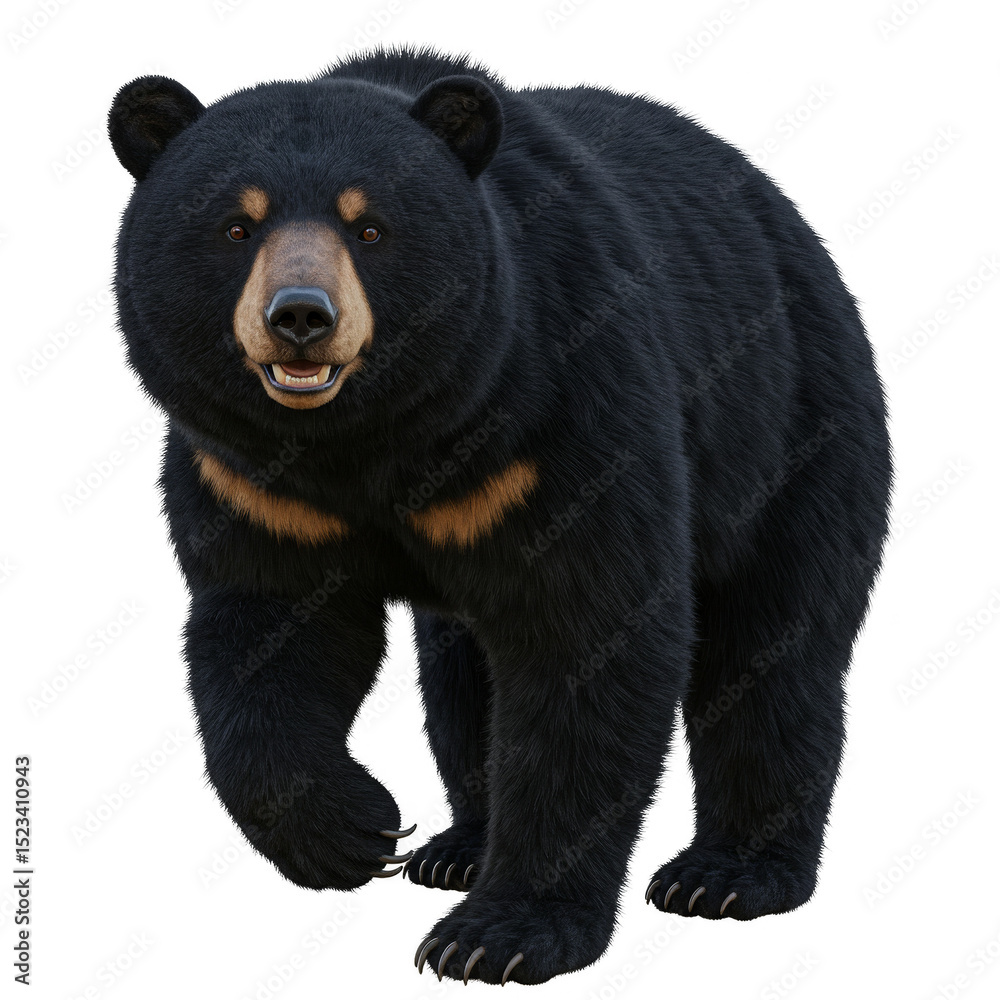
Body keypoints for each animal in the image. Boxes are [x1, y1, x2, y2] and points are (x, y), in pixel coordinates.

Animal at [108, 47, 892, 986]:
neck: (371, 442)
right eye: (236, 226)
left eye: (370, 229)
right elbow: (265, 628)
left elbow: (587, 637)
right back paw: (457, 848)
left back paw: (727, 874)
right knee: (460, 676)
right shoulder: (251, 478)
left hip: (789, 429)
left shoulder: (562, 414)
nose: (300, 316)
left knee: (774, 649)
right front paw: (352, 828)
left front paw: (499, 935)